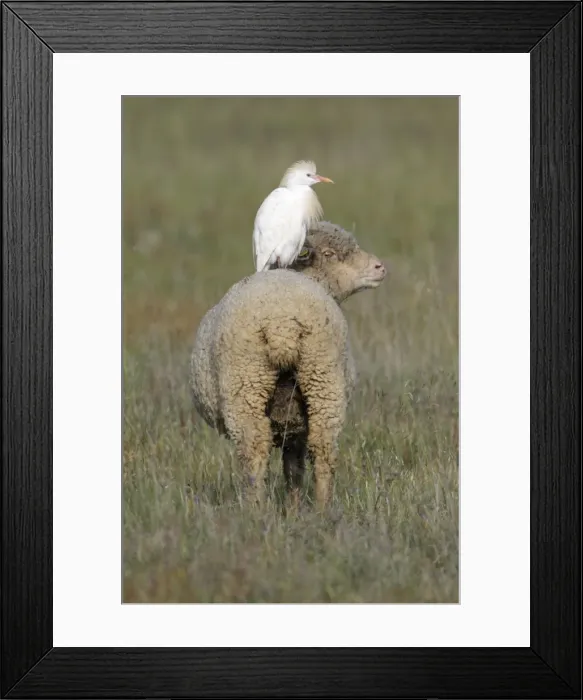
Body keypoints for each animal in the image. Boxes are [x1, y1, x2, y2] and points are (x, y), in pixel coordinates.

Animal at [190, 221, 387, 508]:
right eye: (329, 254)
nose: (379, 268)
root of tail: (282, 323)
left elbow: (291, 467)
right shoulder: (295, 424)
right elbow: (293, 468)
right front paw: (294, 509)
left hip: (247, 385)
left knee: (254, 450)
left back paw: (256, 510)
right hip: (322, 377)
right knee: (323, 447)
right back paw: (322, 510)